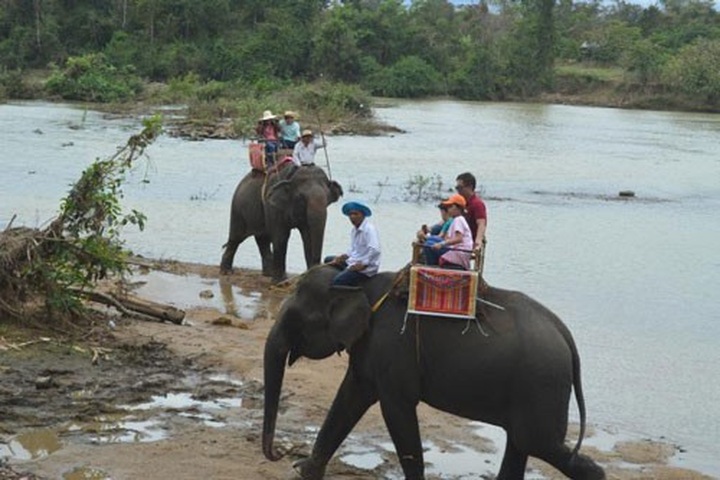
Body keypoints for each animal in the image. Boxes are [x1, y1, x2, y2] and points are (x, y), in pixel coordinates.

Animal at [263, 265, 606, 480]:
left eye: (293, 318)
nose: (280, 453)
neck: (358, 284)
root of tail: (566, 336)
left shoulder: (392, 350)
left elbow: (396, 410)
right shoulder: (369, 350)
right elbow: (349, 398)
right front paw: (304, 470)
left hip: (540, 383)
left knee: (536, 442)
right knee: (521, 443)